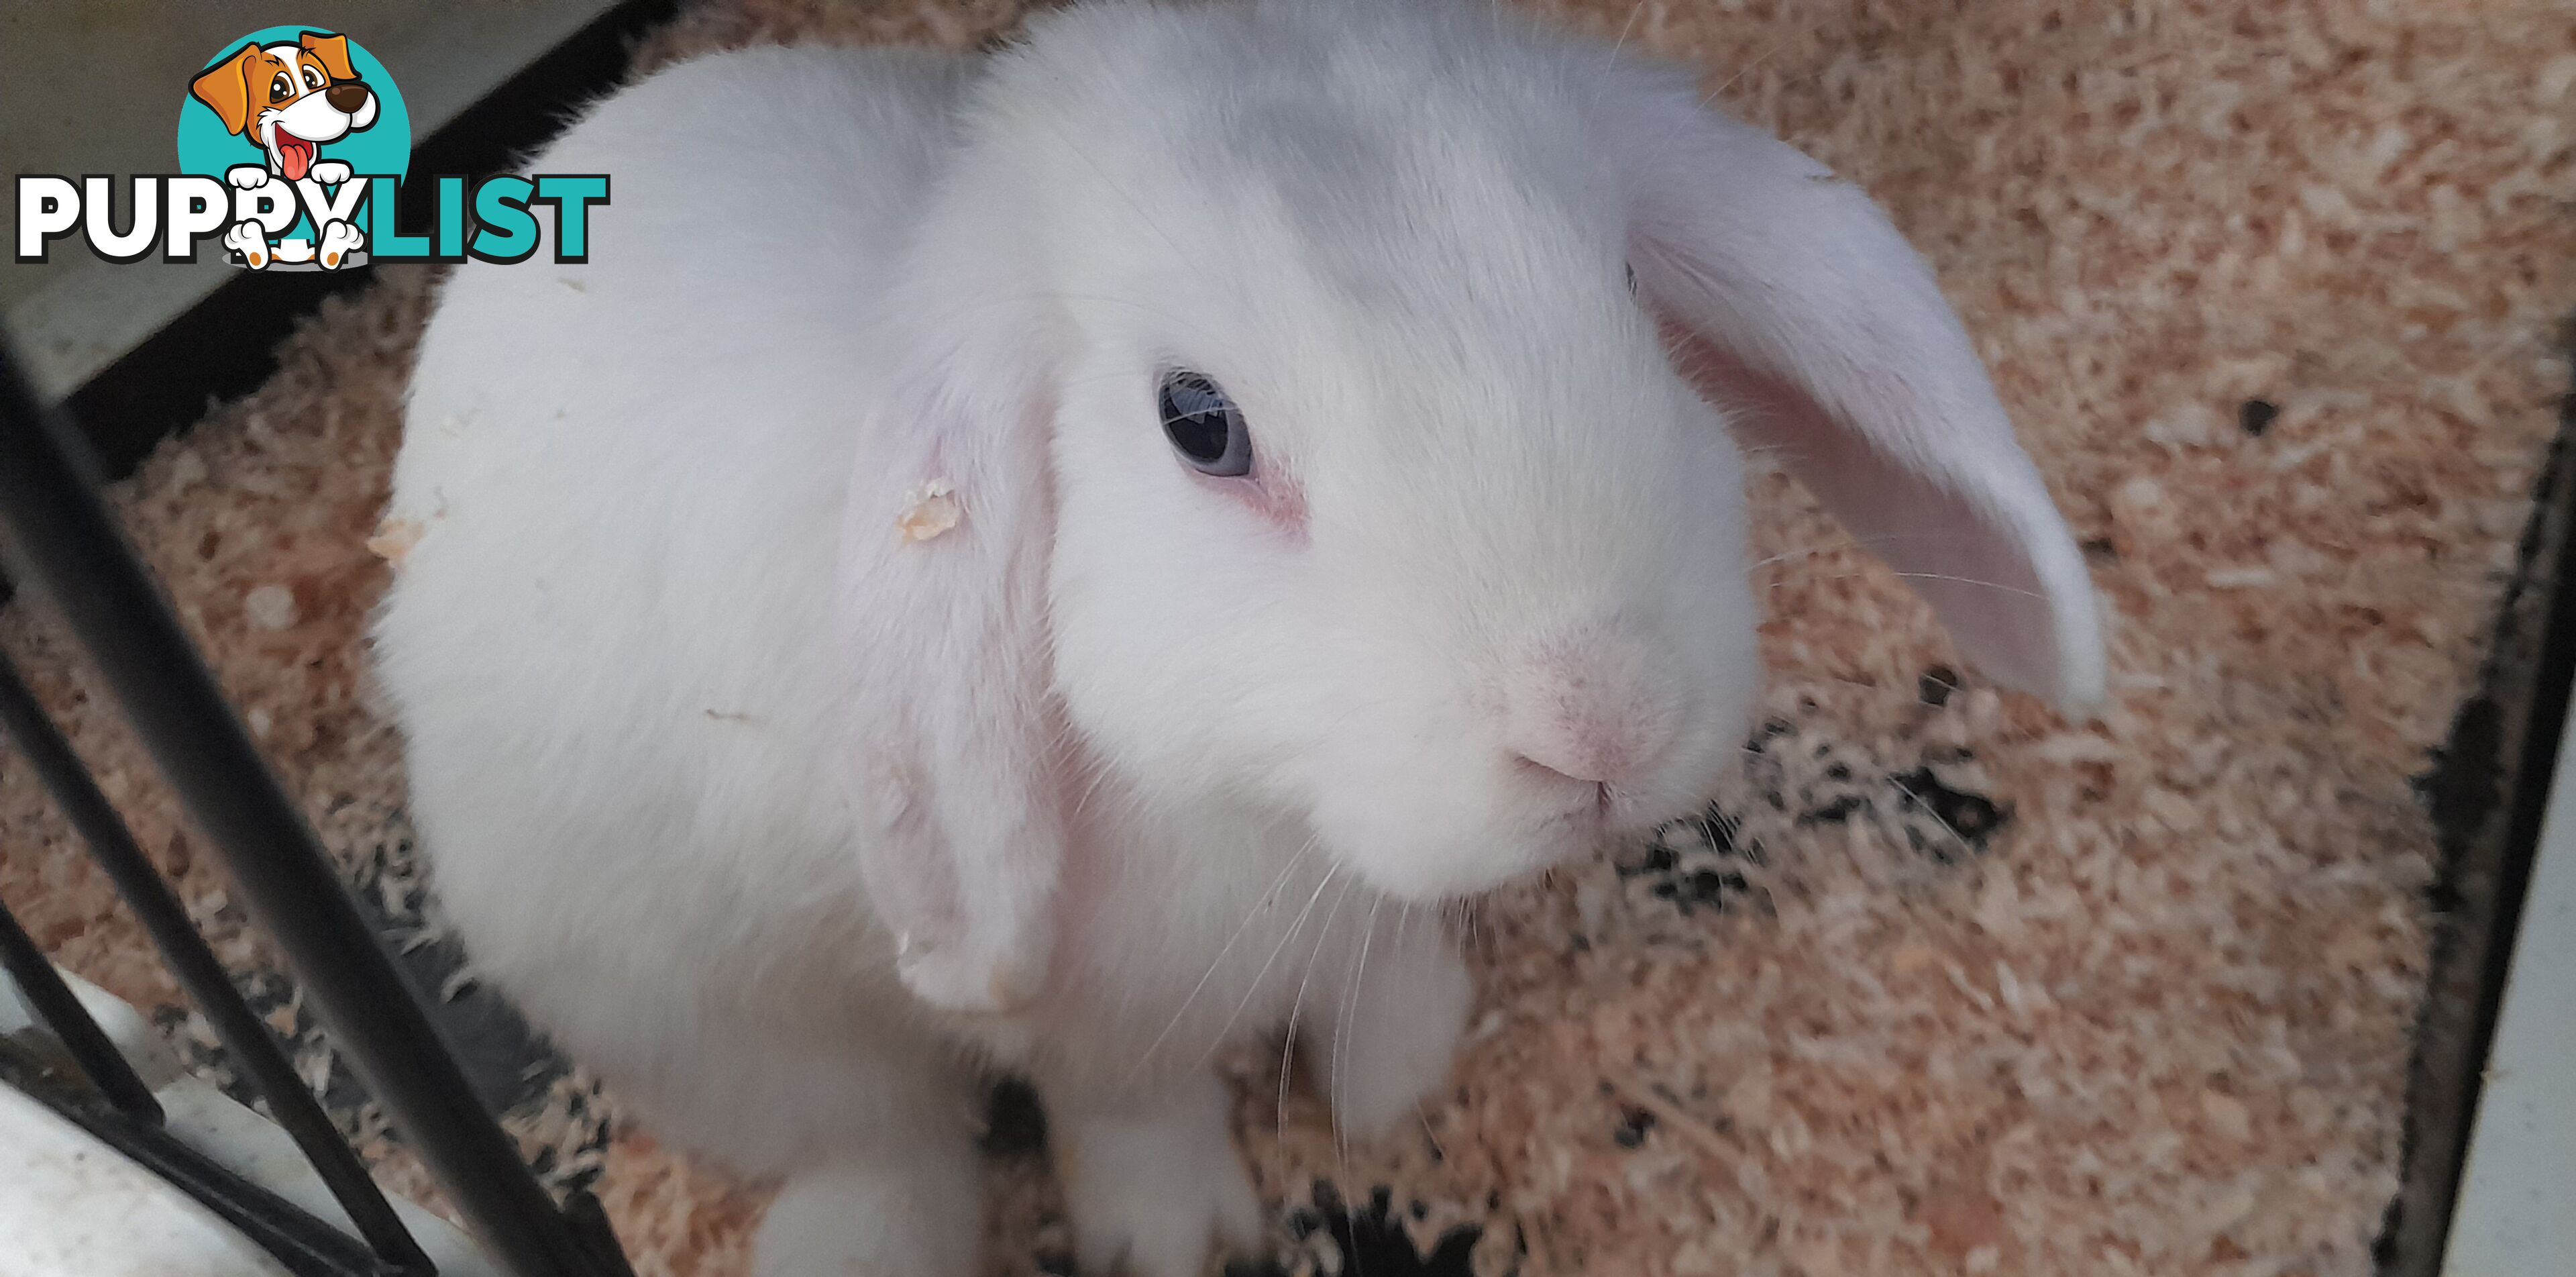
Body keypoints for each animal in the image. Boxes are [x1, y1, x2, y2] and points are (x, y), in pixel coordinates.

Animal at [376, 5, 2092, 1272]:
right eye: (1197, 424)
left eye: (1620, 282)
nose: (1599, 719)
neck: (1272, 811)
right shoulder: (1102, 1023)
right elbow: (1130, 1113)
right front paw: (1183, 1237)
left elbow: (1389, 965)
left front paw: (1397, 1075)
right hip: (695, 1009)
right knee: (873, 1140)